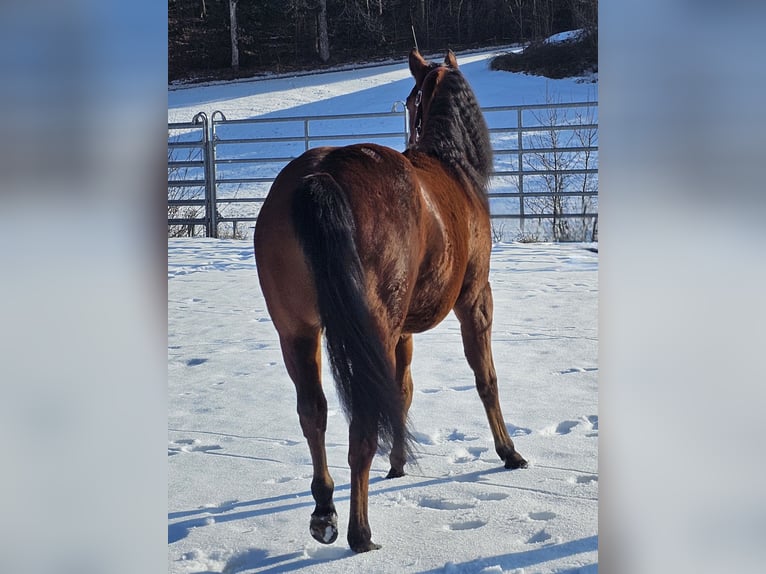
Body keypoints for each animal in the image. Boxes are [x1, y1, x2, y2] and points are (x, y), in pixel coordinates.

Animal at [253, 48, 527, 553]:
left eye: (411, 100)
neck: (450, 166)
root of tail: (320, 174)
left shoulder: (402, 333)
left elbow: (400, 391)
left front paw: (398, 463)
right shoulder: (476, 302)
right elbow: (486, 379)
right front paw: (509, 451)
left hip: (297, 332)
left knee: (314, 412)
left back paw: (325, 511)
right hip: (371, 330)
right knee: (360, 421)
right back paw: (360, 533)